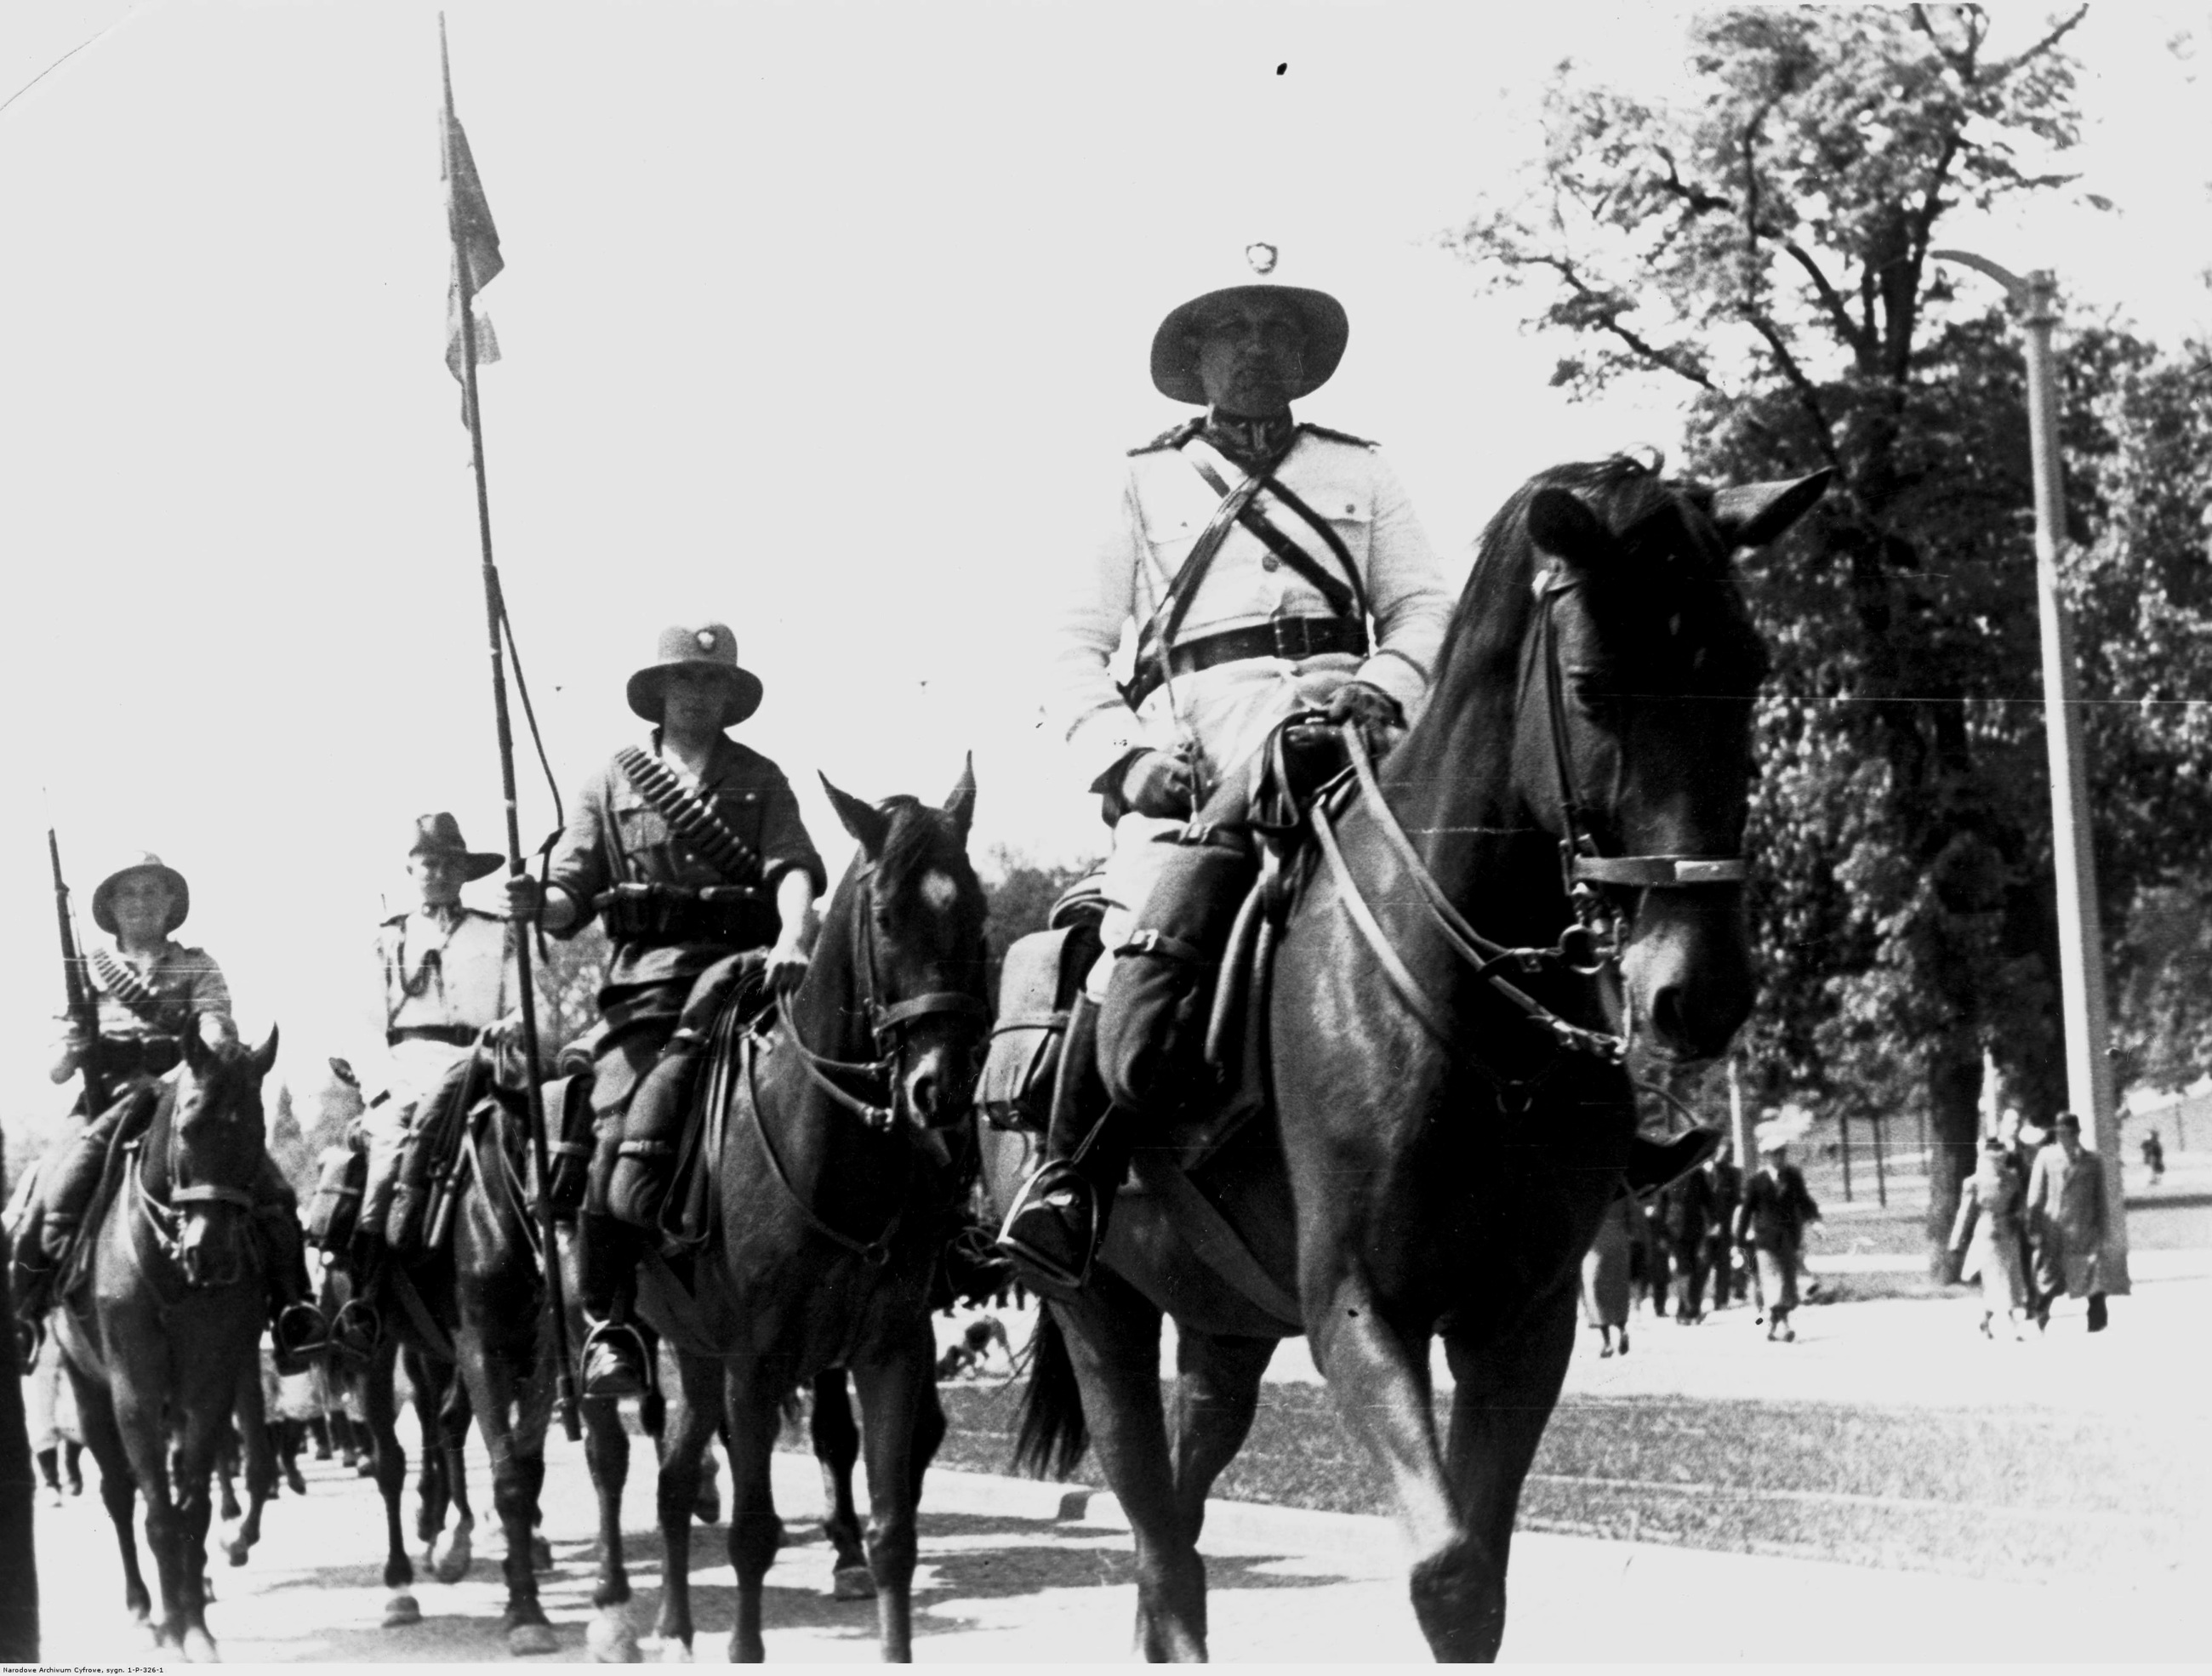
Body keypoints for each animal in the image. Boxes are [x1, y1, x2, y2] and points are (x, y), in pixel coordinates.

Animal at [55, 1030, 285, 1662]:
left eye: (256, 1130)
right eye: (187, 1126)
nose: (212, 1253)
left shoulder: (209, 1384)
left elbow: (194, 1505)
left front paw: (197, 1627)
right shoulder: (134, 1391)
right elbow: (156, 1512)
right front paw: (176, 1627)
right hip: (87, 1390)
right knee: (117, 1493)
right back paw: (143, 1607)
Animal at [597, 769, 995, 1662]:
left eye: (979, 912)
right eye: (885, 915)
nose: (940, 1091)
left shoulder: (889, 1352)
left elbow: (893, 1533)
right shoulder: (757, 1364)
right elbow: (752, 1532)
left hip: (696, 1351)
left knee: (674, 1478)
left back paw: (676, 1625)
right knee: (620, 1456)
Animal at [986, 459, 1831, 1671]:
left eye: (1748, 672)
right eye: (1590, 685)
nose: (1700, 988)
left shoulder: (1520, 1320)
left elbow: (1477, 1582)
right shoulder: (1359, 1310)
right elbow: (1447, 1569)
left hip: (1225, 1325)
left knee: (1179, 1526)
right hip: (1099, 1315)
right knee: (1157, 1531)